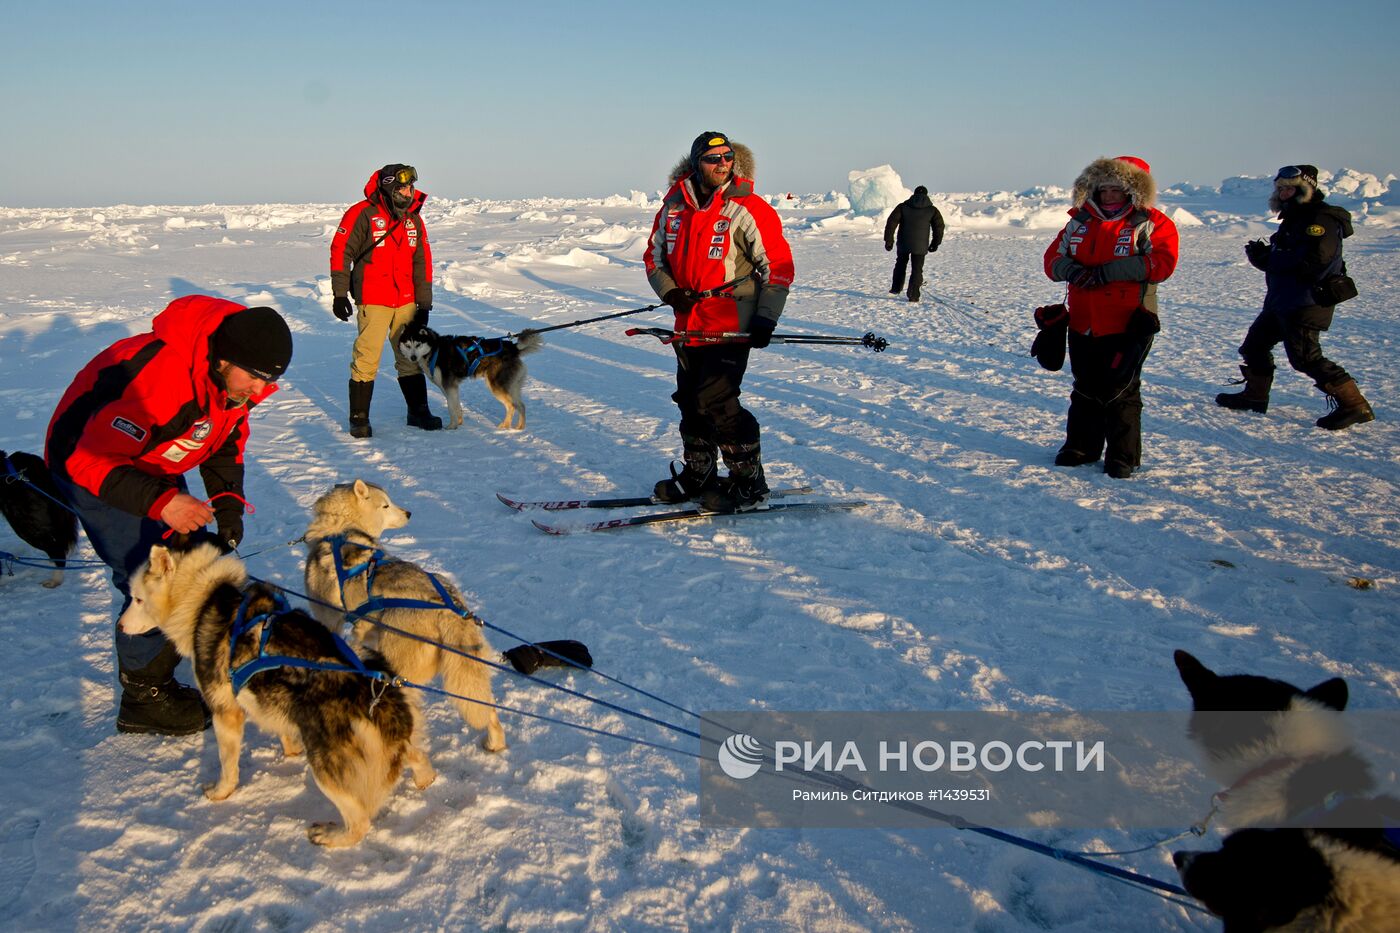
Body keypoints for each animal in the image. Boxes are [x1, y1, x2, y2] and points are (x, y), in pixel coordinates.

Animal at [118, 540, 434, 846]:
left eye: (137, 598)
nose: (119, 625)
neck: (205, 598)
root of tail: (382, 698)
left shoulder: (226, 713)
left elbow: (227, 765)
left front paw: (221, 792)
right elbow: (282, 730)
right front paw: (290, 750)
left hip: (325, 767)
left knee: (359, 822)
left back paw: (330, 836)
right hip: (401, 745)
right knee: (423, 764)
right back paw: (424, 782)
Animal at [303, 479, 506, 750]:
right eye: (386, 505)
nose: (409, 512)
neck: (342, 530)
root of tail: (447, 606)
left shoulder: (329, 620)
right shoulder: (366, 630)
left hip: (398, 669)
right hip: (467, 673)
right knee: (488, 708)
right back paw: (495, 741)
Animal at [400, 322, 546, 431]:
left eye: (418, 344)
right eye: (408, 345)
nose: (413, 357)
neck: (435, 349)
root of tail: (513, 347)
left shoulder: (449, 386)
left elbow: (451, 407)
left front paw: (451, 426)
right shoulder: (450, 388)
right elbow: (456, 406)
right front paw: (459, 422)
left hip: (497, 386)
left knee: (512, 406)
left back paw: (507, 426)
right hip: (511, 386)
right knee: (521, 405)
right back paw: (519, 427)